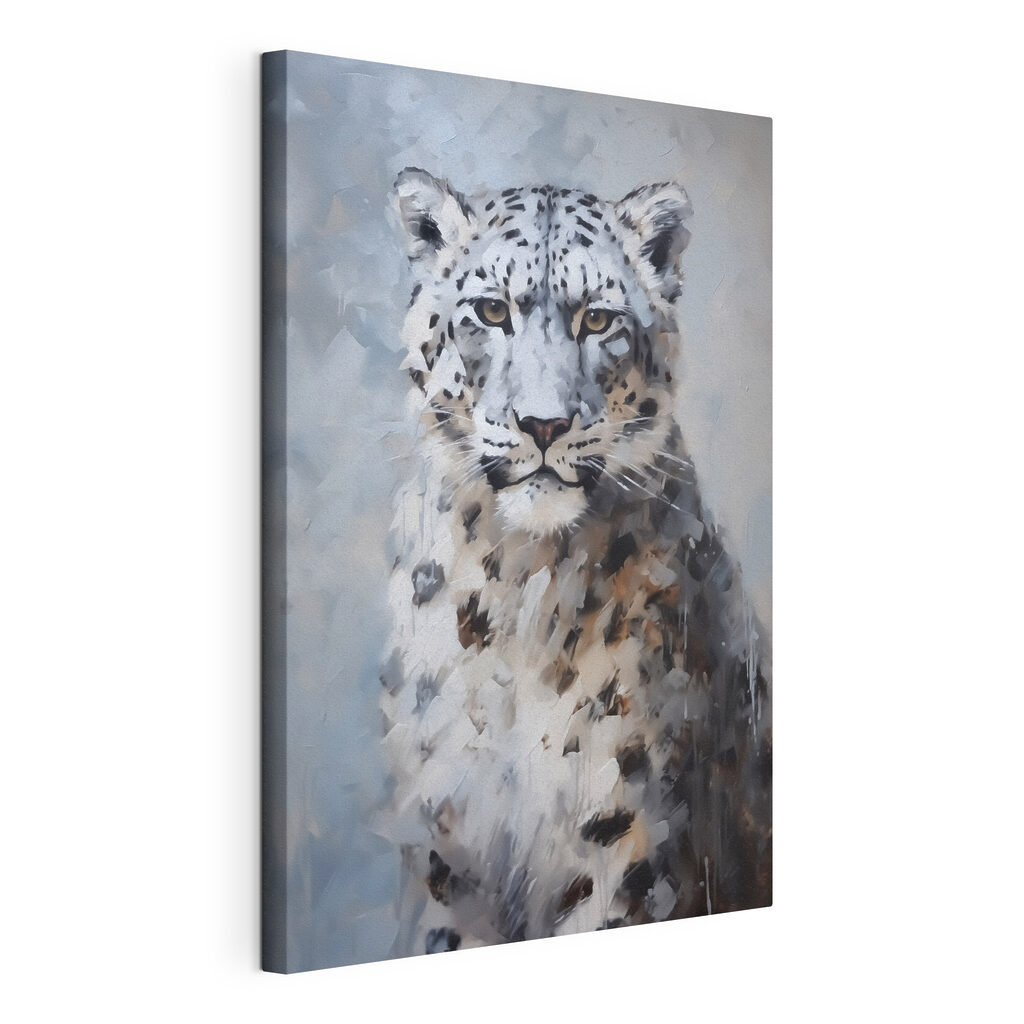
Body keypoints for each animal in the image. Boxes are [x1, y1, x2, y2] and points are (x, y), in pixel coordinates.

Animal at [376, 168, 771, 958]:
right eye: (491, 309)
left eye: (597, 320)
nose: (544, 423)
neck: (513, 588)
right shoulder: (450, 844)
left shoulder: (624, 833)